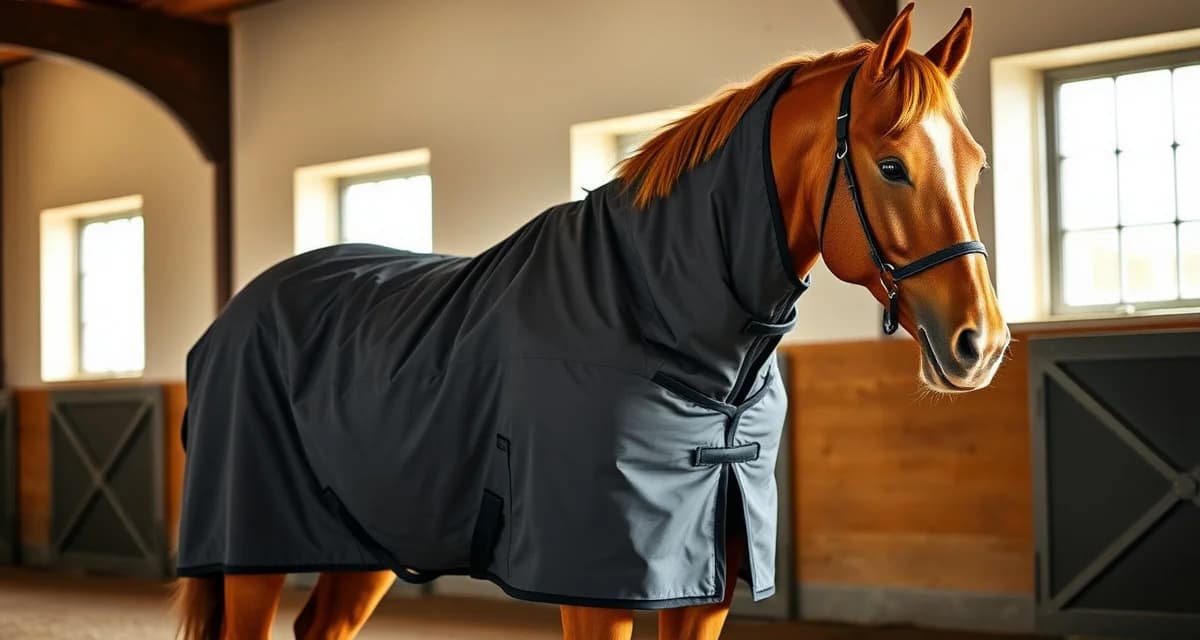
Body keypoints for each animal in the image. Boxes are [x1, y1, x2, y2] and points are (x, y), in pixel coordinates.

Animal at [172, 4, 1008, 639]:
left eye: (974, 165)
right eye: (892, 166)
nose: (982, 343)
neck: (655, 309)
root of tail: (232, 315)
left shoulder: (703, 586)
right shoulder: (597, 588)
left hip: (371, 540)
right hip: (251, 551)